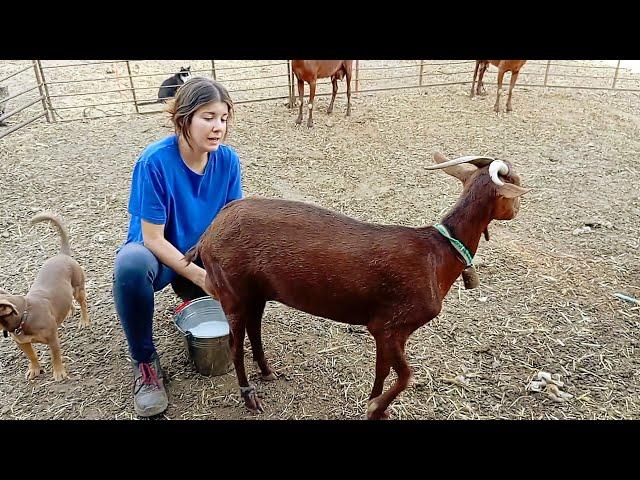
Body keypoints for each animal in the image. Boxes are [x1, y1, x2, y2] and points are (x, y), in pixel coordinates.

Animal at [0, 214, 90, 382]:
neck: (25, 315)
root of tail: (62, 254)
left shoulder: (52, 339)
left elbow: (55, 356)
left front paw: (59, 372)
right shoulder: (22, 343)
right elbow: (32, 356)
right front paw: (34, 369)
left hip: (78, 289)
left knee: (83, 303)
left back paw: (84, 321)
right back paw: (69, 310)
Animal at [185, 155, 528, 420]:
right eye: (515, 185)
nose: (517, 210)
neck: (438, 255)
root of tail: (207, 234)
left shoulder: (388, 331)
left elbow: (382, 370)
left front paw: (377, 408)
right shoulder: (390, 324)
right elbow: (405, 374)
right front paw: (375, 406)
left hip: (255, 291)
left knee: (254, 329)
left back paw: (268, 373)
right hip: (232, 289)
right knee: (234, 344)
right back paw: (249, 398)